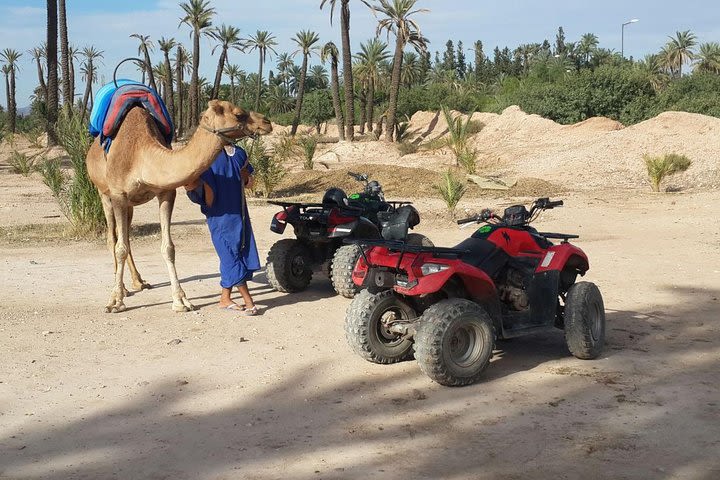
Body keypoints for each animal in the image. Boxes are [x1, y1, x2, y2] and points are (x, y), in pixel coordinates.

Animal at [86, 99, 272, 314]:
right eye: (239, 114)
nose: (267, 122)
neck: (140, 155)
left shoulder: (166, 193)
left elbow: (168, 248)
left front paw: (181, 301)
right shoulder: (118, 196)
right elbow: (120, 248)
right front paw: (115, 301)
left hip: (130, 205)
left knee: (127, 238)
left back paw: (139, 282)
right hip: (104, 195)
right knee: (113, 238)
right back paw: (123, 288)